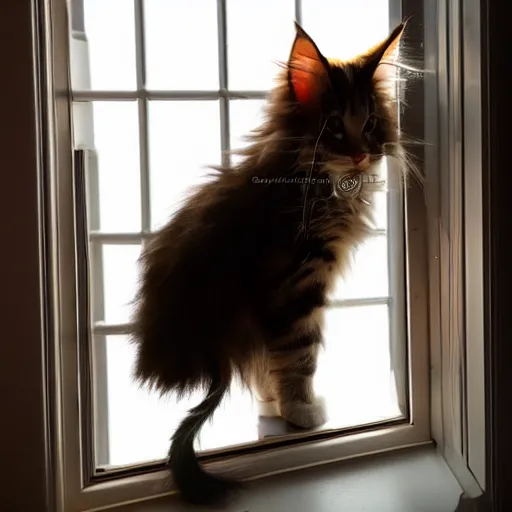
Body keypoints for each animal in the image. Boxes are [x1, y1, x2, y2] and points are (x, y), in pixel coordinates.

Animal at [133, 21, 412, 508]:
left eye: (371, 124)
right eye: (333, 127)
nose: (361, 153)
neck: (322, 182)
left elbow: (276, 359)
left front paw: (275, 401)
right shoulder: (298, 281)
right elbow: (301, 349)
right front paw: (300, 408)